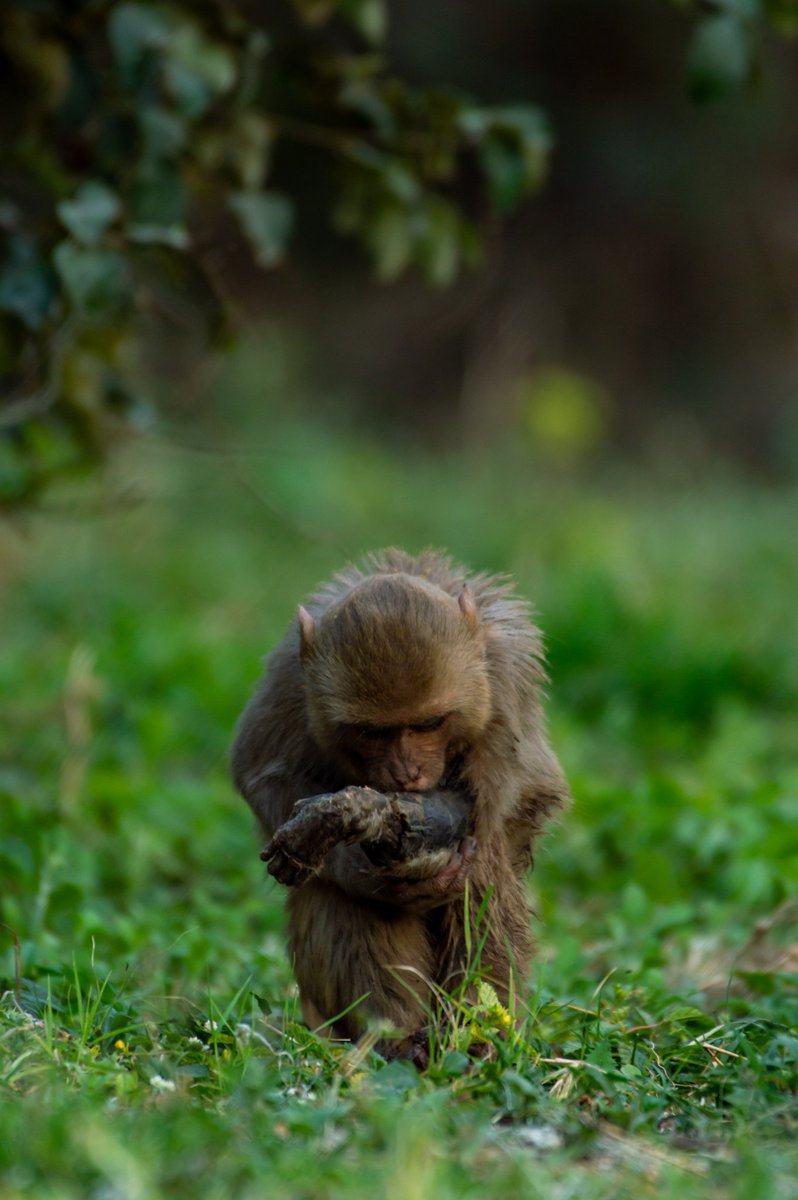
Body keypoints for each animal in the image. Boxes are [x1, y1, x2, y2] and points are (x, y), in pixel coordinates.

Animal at [231, 549, 570, 1057]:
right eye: (371, 731)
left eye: (428, 723)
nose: (405, 772)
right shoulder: (289, 681)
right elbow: (262, 776)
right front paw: (366, 866)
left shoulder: (506, 685)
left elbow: (503, 807)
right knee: (333, 894)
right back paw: (396, 1036)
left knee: (485, 866)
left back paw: (474, 1033)